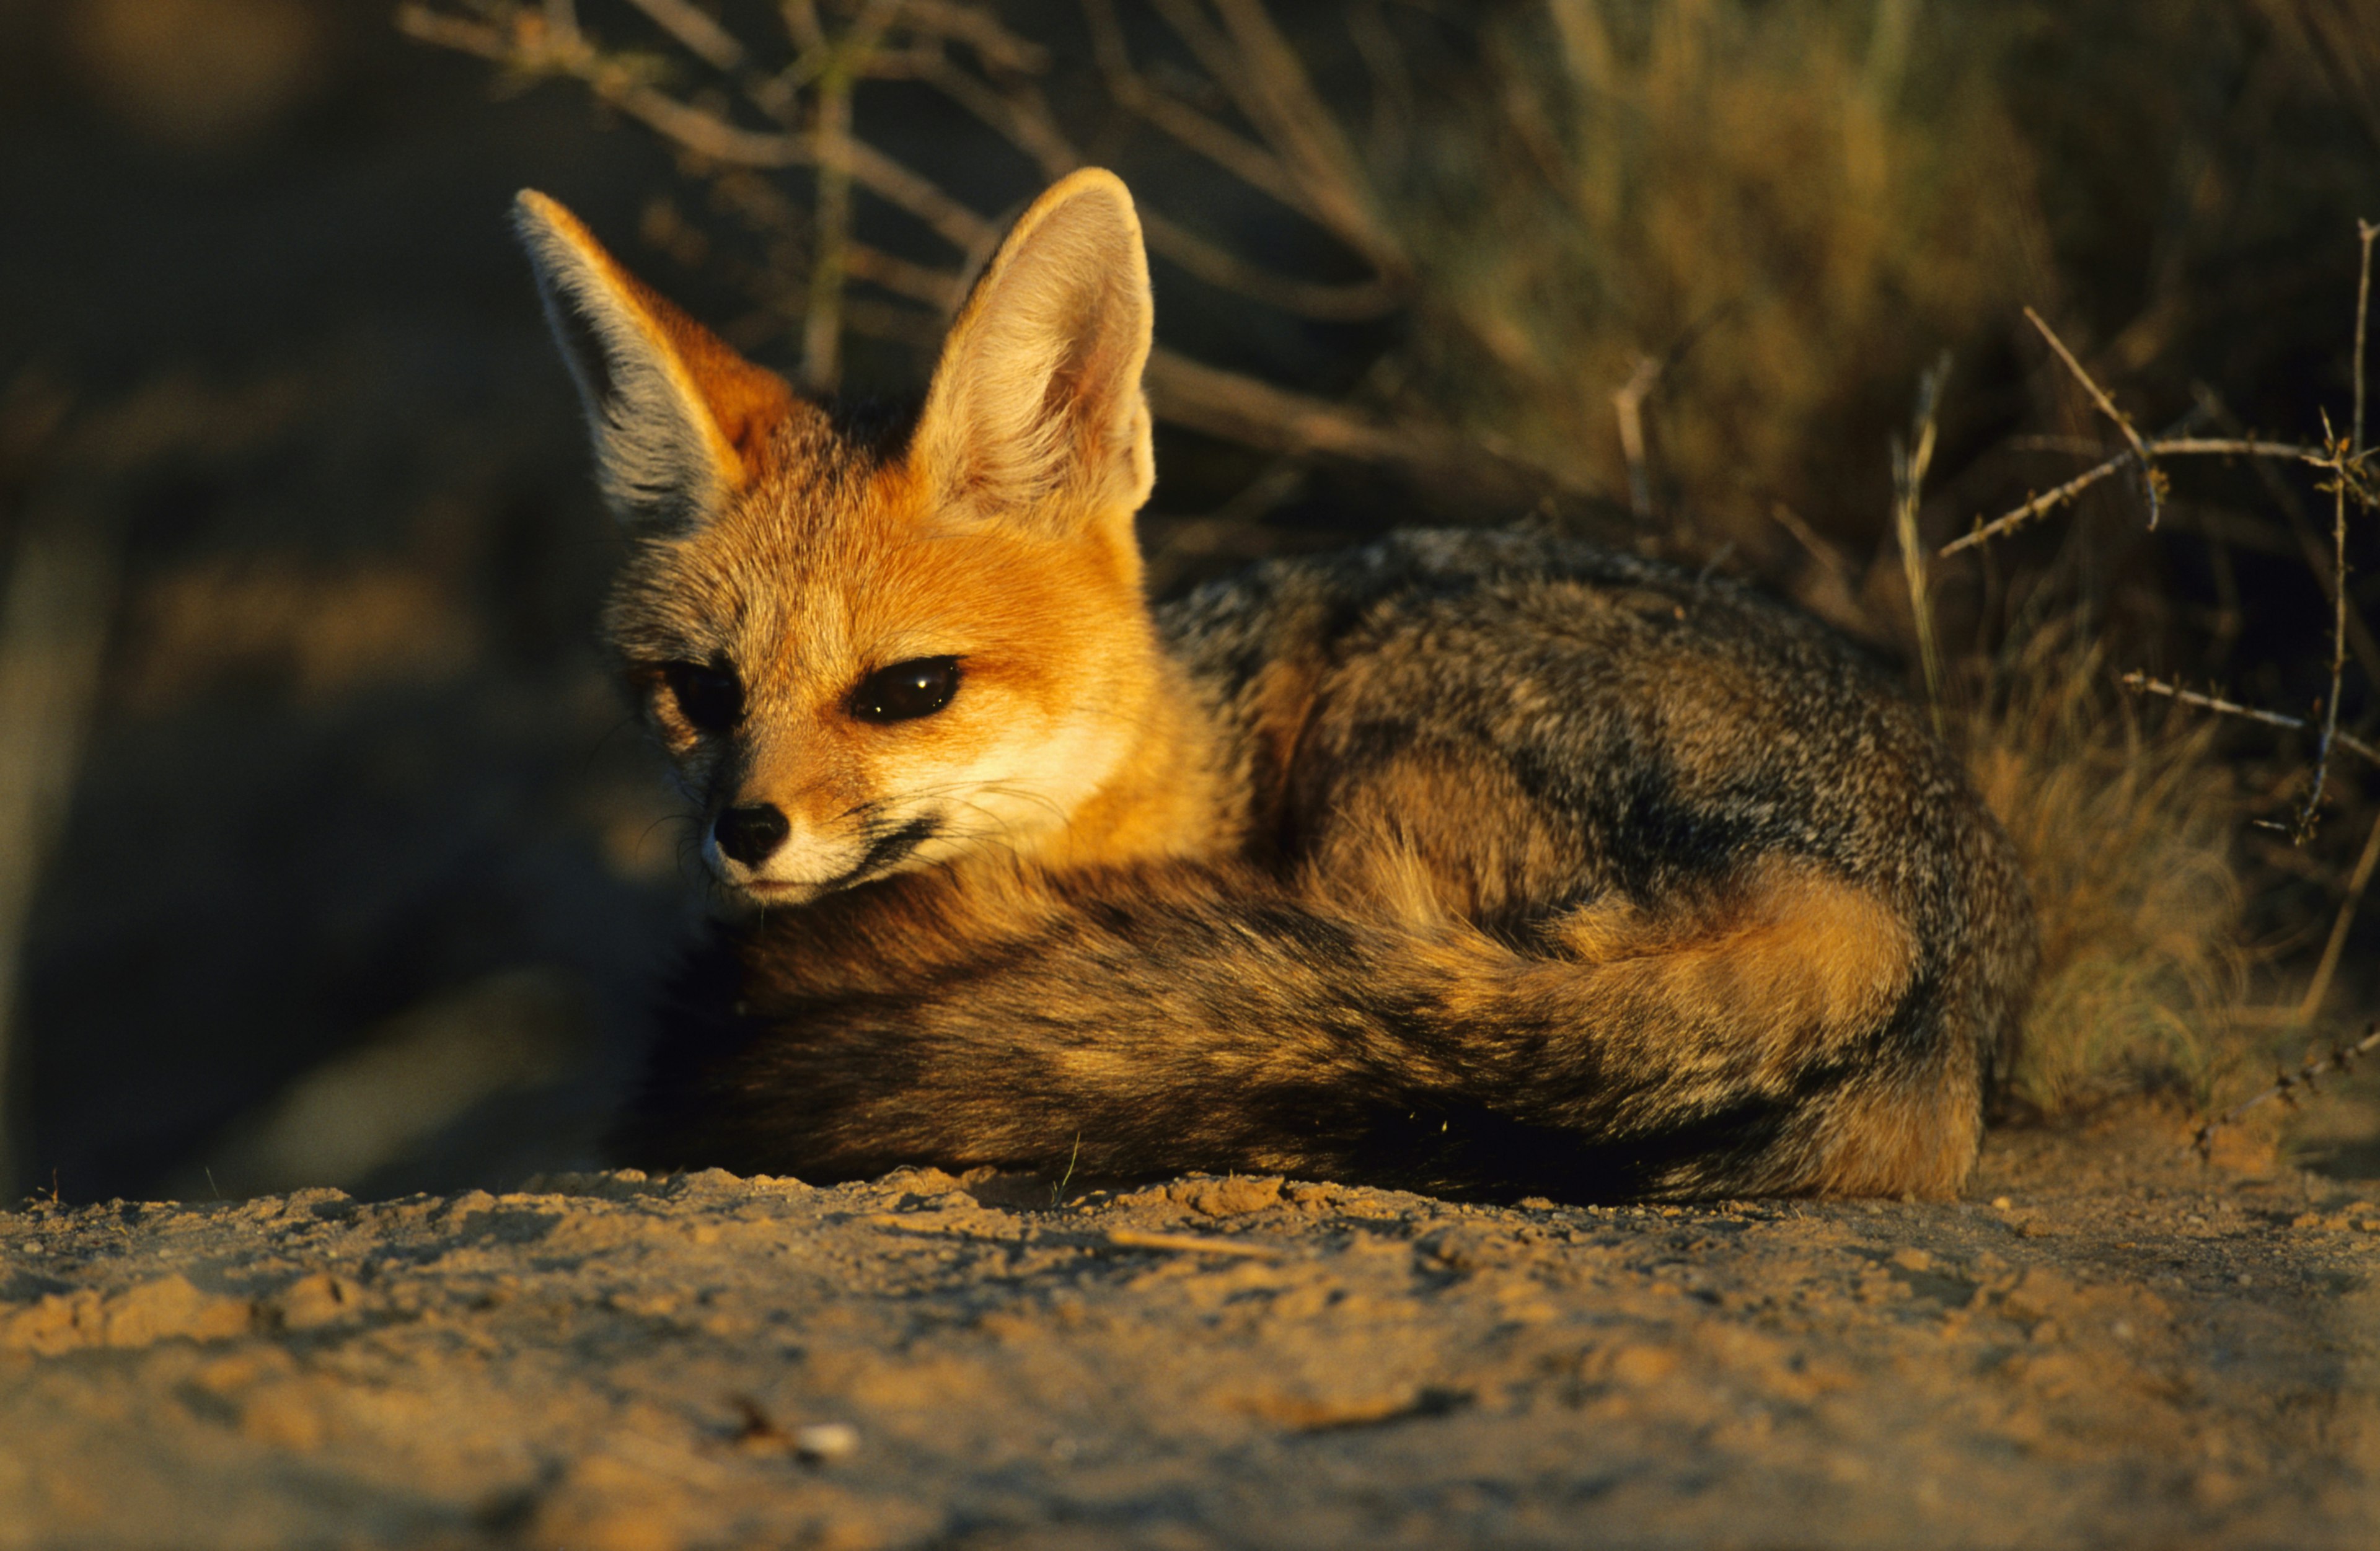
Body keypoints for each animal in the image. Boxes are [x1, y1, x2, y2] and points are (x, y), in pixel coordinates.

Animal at [511, 172, 2037, 1213]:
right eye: (698, 691)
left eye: (910, 689)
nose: (744, 833)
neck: (1189, 773)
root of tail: (1899, 914)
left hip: (1390, 718)